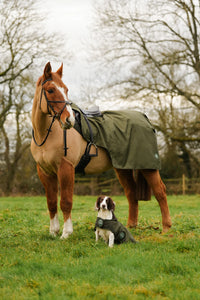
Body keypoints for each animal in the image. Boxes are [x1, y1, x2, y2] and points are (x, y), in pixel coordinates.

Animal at [31, 61, 172, 239]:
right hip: (122, 168)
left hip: (148, 167)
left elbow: (66, 201)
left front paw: (66, 233)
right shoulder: (45, 172)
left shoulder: (66, 168)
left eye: (66, 90)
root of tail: (145, 119)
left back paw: (166, 228)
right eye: (50, 90)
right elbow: (51, 202)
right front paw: (53, 232)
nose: (69, 120)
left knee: (160, 192)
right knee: (131, 193)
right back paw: (130, 226)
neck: (47, 134)